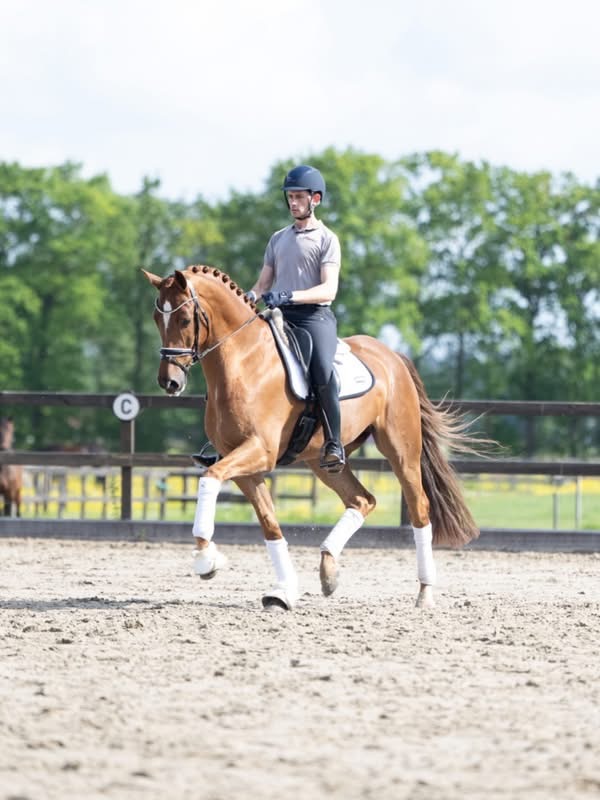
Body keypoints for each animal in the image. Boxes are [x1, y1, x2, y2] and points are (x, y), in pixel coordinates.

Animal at [143, 265, 481, 611]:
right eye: (157, 319)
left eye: (185, 319)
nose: (169, 382)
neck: (244, 363)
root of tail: (392, 355)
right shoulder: (243, 465)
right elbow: (269, 523)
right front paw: (283, 591)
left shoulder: (259, 451)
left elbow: (209, 478)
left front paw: (205, 559)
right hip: (323, 463)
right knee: (362, 500)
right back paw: (329, 570)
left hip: (401, 452)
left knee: (419, 508)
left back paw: (425, 591)